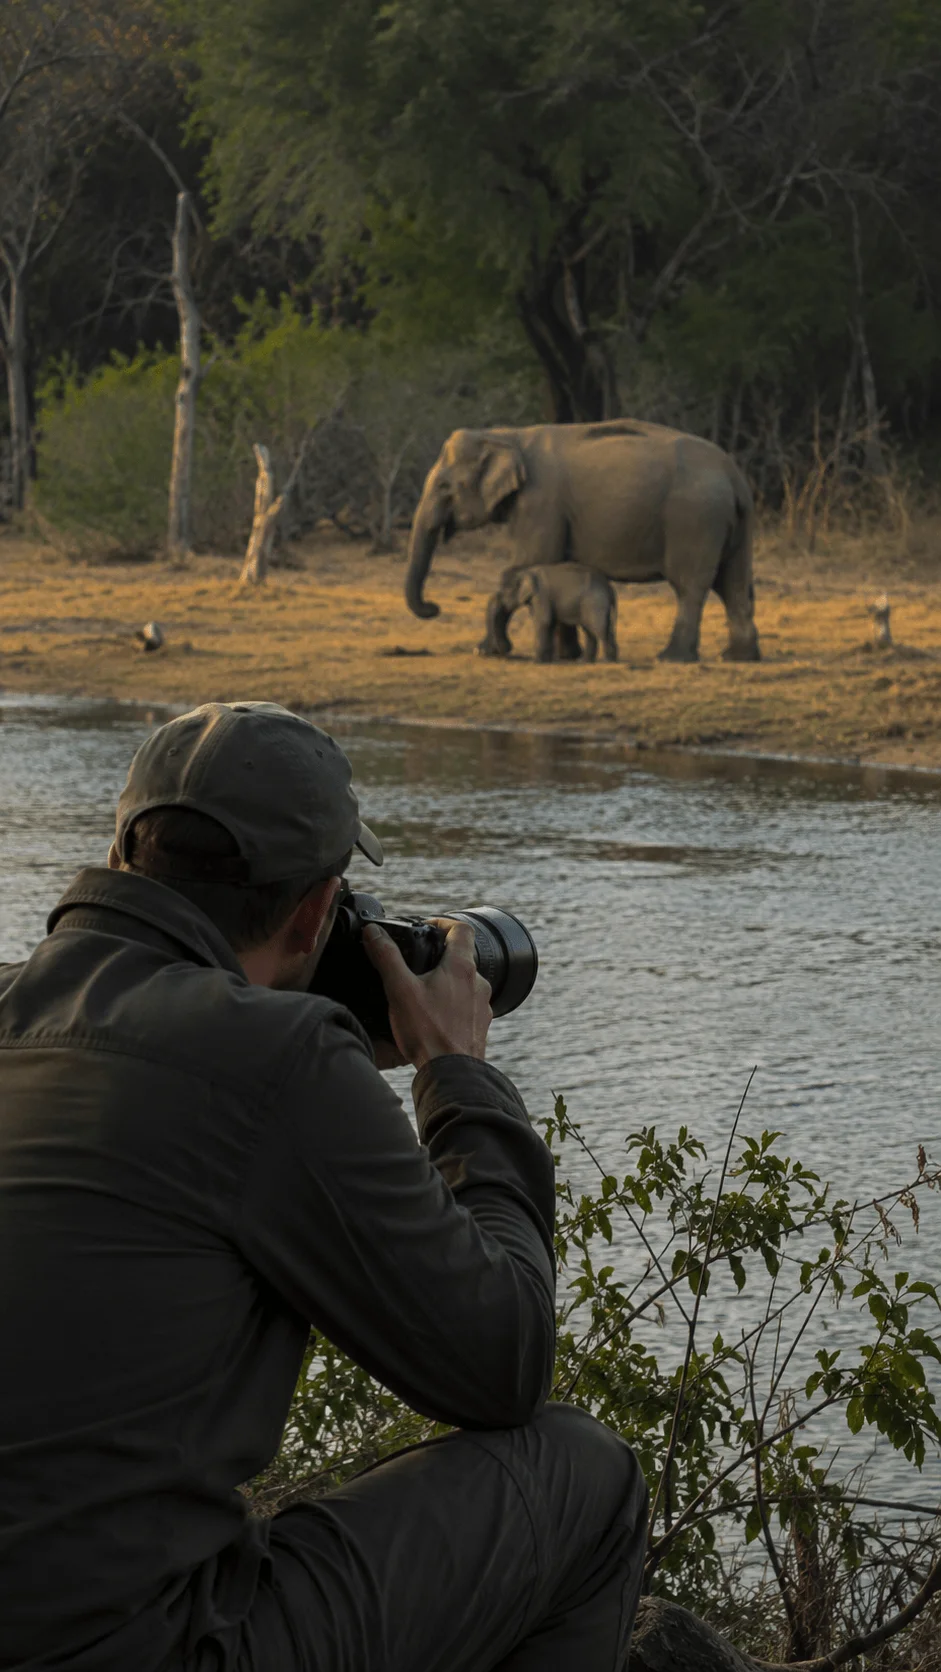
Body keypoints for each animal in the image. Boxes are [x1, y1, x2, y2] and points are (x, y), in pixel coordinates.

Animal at [482, 564, 618, 663]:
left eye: (502, 593)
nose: (504, 652)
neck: (526, 572)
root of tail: (610, 588)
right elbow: (550, 623)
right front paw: (547, 660)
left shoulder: (540, 594)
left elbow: (543, 621)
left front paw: (536, 662)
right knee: (592, 630)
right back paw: (586, 661)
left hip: (594, 603)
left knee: (599, 629)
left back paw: (606, 661)